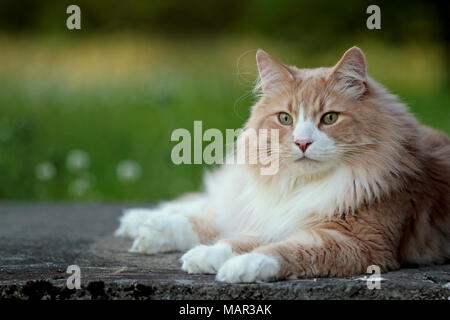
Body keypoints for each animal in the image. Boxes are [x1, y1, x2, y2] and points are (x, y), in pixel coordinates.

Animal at [115, 45, 450, 282]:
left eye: (329, 118)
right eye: (285, 119)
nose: (302, 143)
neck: (301, 187)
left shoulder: (358, 242)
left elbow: (283, 250)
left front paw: (239, 267)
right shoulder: (279, 216)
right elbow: (237, 240)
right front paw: (209, 256)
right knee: (210, 208)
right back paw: (142, 225)